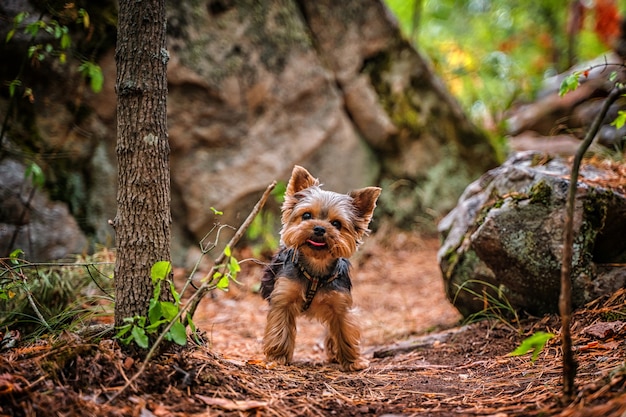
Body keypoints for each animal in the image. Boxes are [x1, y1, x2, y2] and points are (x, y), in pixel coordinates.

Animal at [260, 164, 380, 368]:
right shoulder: (283, 299)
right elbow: (280, 330)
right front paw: (277, 357)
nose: (319, 228)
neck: (315, 269)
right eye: (307, 215)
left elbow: (345, 331)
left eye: (336, 224)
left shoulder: (340, 305)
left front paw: (353, 361)